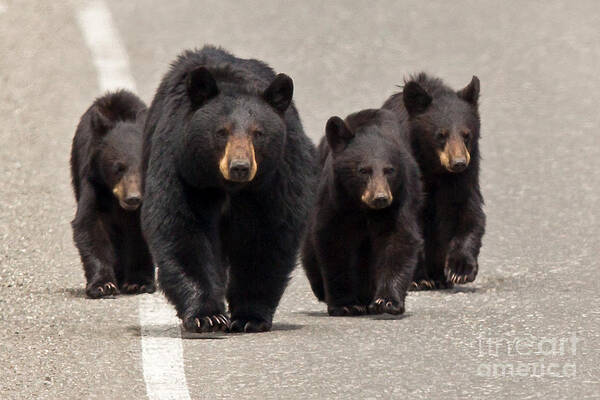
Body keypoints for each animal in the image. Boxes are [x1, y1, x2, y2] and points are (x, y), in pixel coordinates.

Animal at [70, 90, 155, 296]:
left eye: (142, 167)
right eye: (118, 168)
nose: (133, 198)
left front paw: (138, 282)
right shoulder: (94, 184)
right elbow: (90, 226)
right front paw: (103, 285)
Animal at [141, 45, 318, 332]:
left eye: (258, 133)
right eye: (221, 131)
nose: (240, 167)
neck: (228, 187)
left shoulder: (275, 178)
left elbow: (266, 235)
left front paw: (249, 316)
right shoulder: (182, 170)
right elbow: (182, 227)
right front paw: (207, 315)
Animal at [300, 109, 422, 316]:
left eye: (389, 170)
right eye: (363, 170)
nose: (380, 198)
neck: (364, 208)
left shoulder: (400, 199)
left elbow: (398, 239)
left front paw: (387, 301)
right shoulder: (337, 200)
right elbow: (333, 241)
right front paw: (345, 304)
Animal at [382, 73, 486, 290]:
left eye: (466, 134)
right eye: (441, 135)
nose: (458, 163)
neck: (433, 166)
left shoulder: (466, 174)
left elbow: (468, 211)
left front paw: (460, 270)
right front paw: (418, 278)